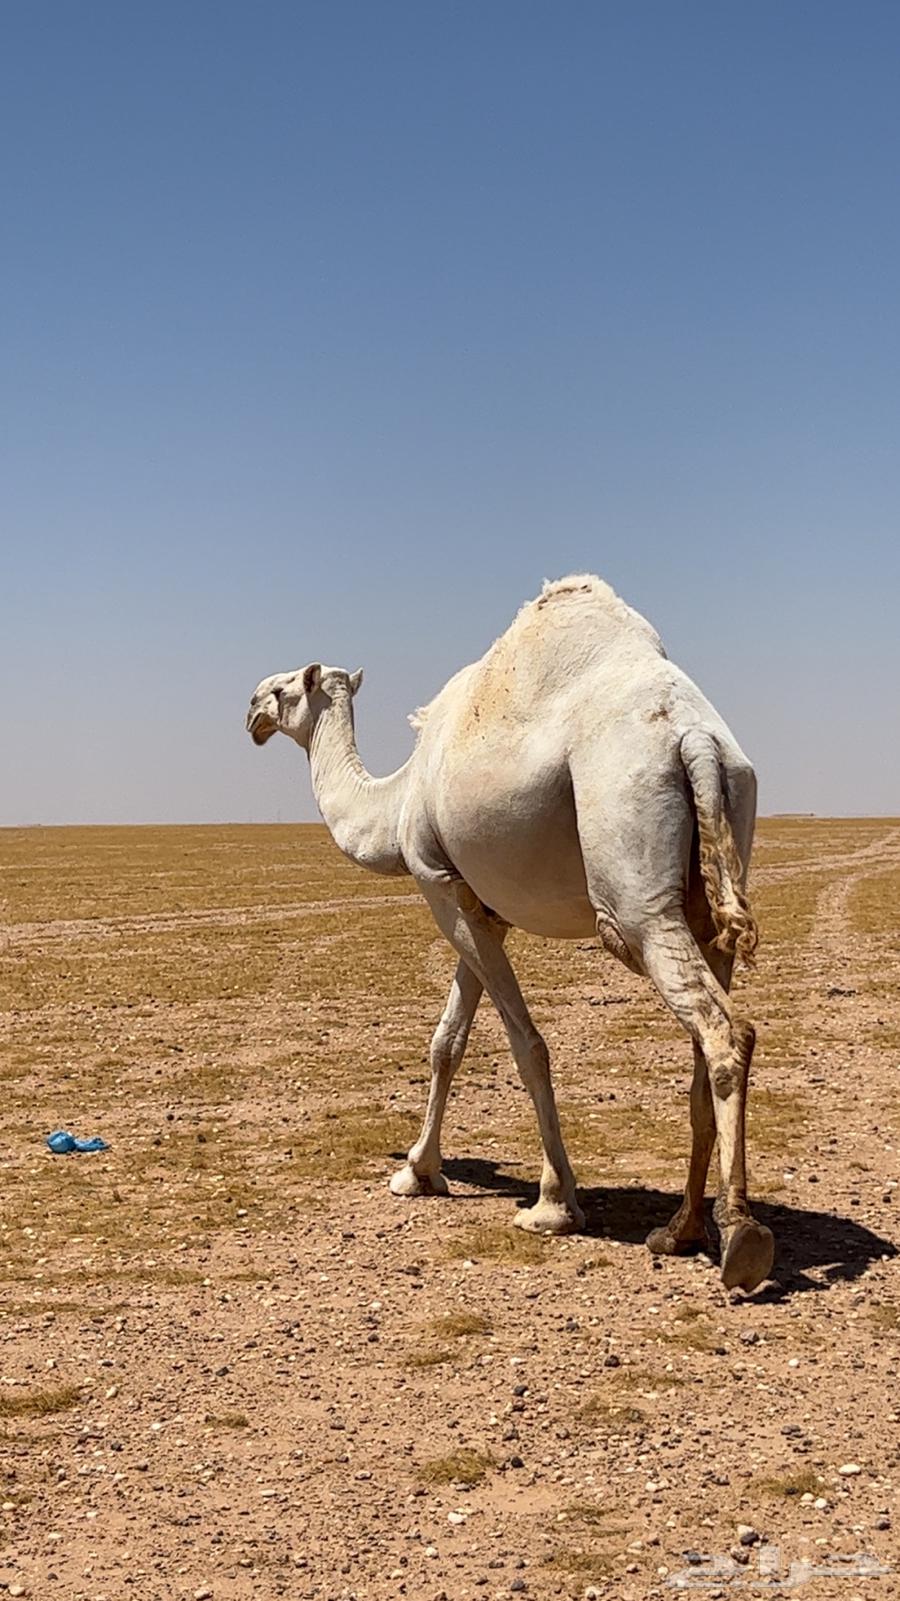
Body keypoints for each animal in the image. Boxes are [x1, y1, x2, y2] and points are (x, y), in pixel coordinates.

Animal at [246, 575, 774, 1292]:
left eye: (283, 691)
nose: (250, 709)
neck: (398, 798)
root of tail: (695, 738)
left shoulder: (436, 880)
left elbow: (526, 1045)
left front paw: (553, 1205)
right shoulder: (481, 906)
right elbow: (447, 1041)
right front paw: (417, 1171)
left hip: (635, 891)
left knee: (722, 1029)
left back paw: (740, 1237)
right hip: (717, 866)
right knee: (707, 1024)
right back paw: (680, 1228)